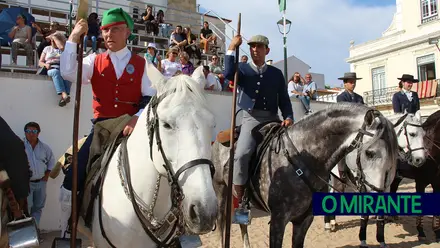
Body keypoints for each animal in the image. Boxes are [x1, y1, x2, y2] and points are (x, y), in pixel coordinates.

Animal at [211, 103, 398, 247]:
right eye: (370, 153)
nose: (379, 197)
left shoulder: (304, 220)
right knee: (221, 224)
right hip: (221, 191)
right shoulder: (278, 220)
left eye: (393, 155)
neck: (303, 157)